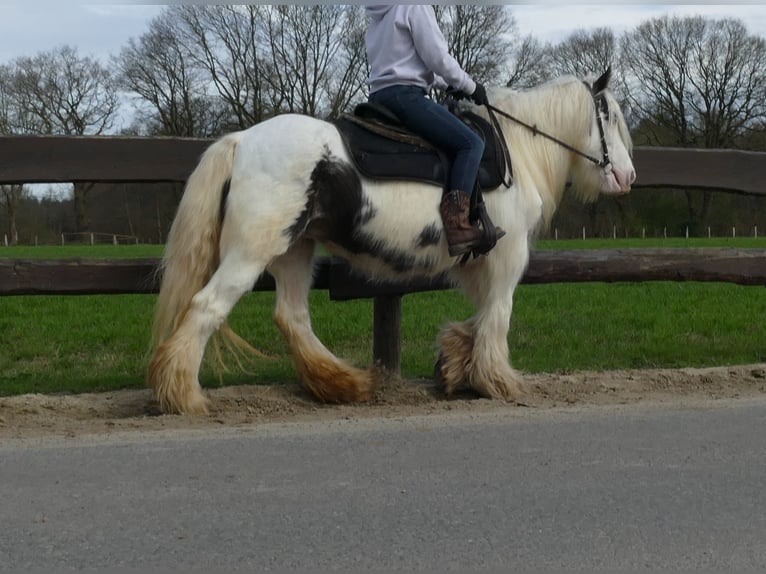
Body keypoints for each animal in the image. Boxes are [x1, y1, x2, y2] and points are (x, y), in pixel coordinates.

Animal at [147, 70, 632, 416]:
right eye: (607, 116)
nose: (627, 177)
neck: (516, 147)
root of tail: (241, 140)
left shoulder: (478, 263)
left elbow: (479, 318)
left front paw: (455, 366)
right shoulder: (506, 257)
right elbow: (497, 316)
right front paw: (497, 380)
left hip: (294, 250)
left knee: (292, 316)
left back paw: (344, 383)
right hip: (252, 252)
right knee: (207, 307)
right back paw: (183, 394)